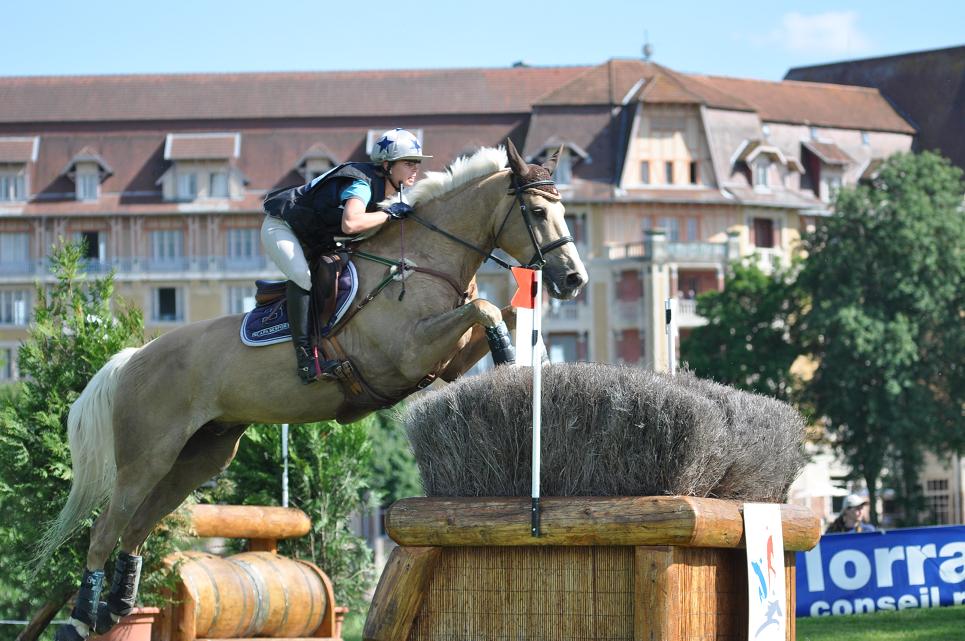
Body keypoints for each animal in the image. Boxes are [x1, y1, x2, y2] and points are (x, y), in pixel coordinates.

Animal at [41, 138, 588, 636]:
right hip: (147, 456)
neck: (421, 260)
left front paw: (525, 359)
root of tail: (133, 358)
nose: (574, 280)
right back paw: (82, 616)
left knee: (136, 528)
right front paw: (509, 356)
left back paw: (117, 608)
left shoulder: (443, 362)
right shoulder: (407, 353)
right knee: (105, 528)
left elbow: (504, 311)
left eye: (567, 211)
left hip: (199, 456)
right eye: (538, 211)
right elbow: (489, 308)